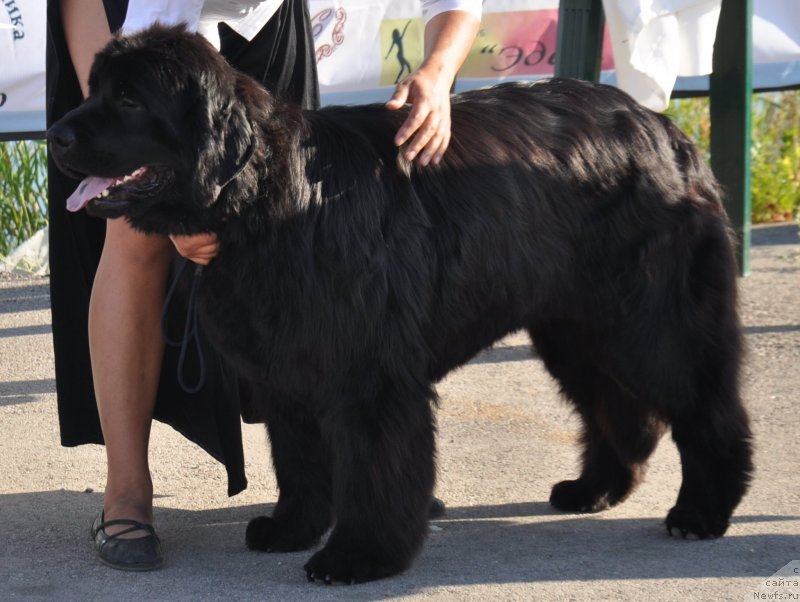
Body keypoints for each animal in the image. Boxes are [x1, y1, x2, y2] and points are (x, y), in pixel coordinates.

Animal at [50, 24, 752, 580]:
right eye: (96, 89)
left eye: (130, 99)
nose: (54, 134)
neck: (269, 198)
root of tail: (665, 129)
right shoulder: (286, 369)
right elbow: (299, 459)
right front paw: (292, 528)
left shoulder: (370, 374)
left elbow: (374, 469)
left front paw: (358, 557)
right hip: (574, 327)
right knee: (611, 403)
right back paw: (595, 489)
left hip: (653, 321)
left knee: (705, 405)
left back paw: (702, 511)